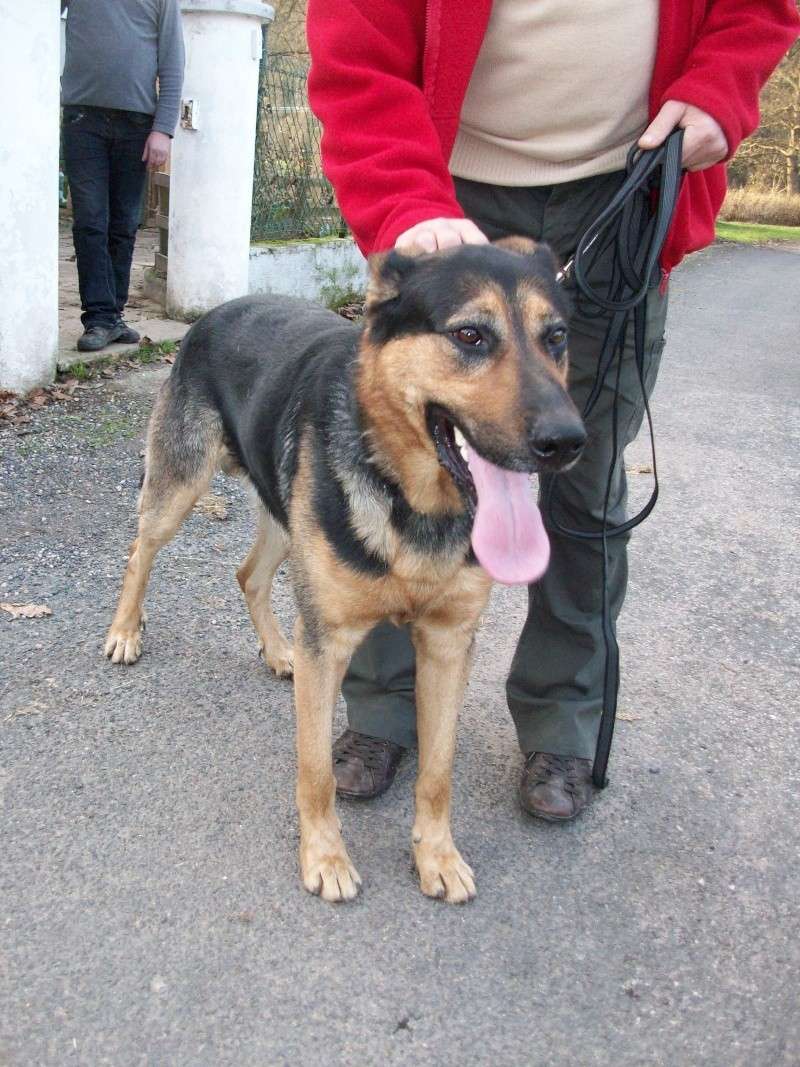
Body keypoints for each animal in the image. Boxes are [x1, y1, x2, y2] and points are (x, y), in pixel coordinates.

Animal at [103, 237, 584, 904]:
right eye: (470, 335)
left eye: (556, 337)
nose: (567, 442)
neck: (412, 500)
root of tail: (217, 310)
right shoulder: (328, 643)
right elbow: (316, 769)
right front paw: (326, 858)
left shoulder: (447, 643)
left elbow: (437, 771)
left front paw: (437, 855)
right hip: (180, 487)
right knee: (140, 552)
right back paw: (125, 632)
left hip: (286, 520)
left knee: (248, 576)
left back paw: (278, 650)